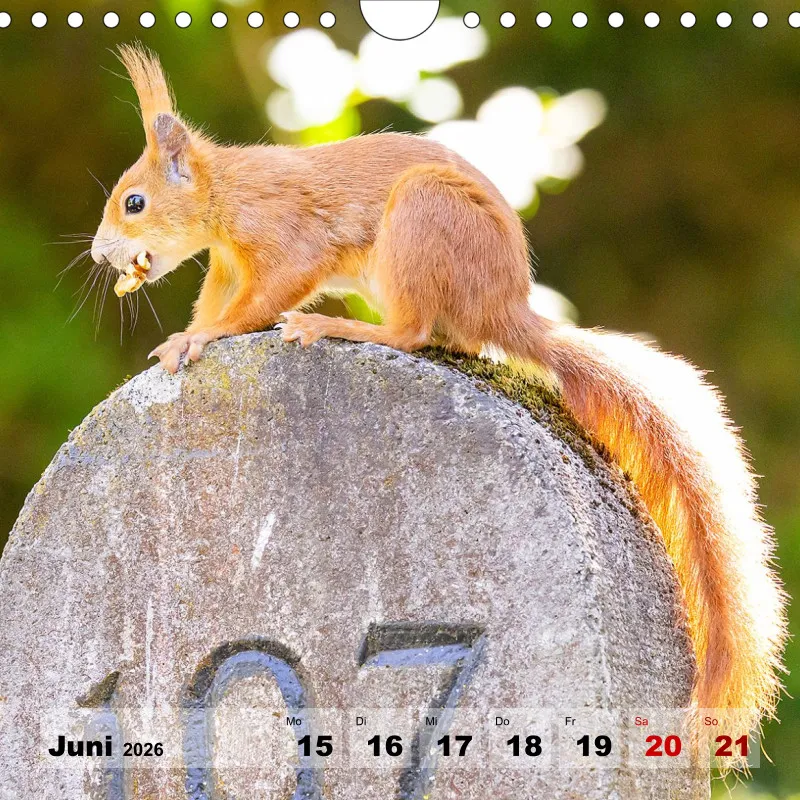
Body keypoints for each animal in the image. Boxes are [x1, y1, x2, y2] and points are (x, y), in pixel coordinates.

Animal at [91, 45, 785, 752]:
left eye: (135, 202)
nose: (99, 254)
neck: (226, 189)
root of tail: (504, 306)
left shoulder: (285, 234)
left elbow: (269, 294)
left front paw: (202, 336)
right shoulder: (228, 265)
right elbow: (221, 301)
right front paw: (185, 339)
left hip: (423, 218)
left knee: (411, 332)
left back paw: (339, 327)